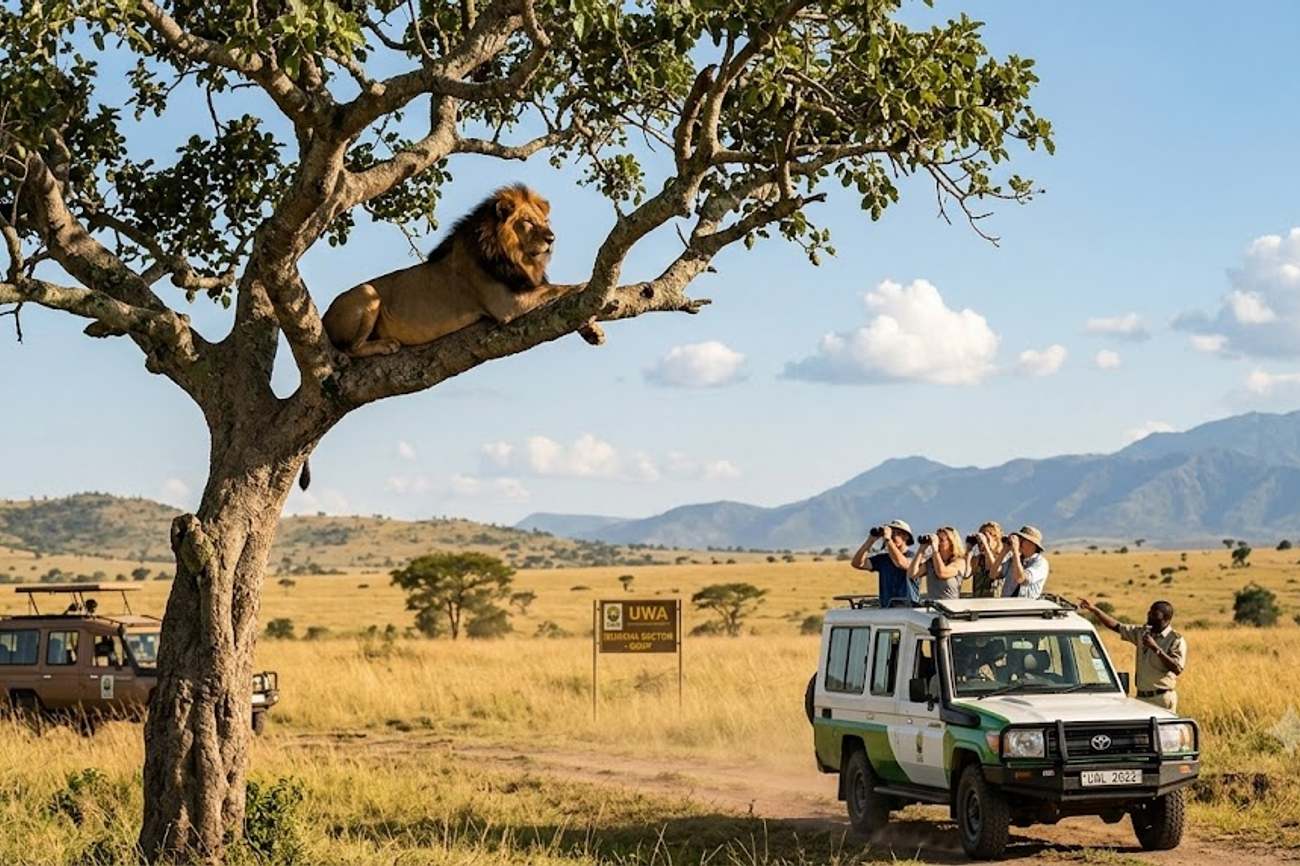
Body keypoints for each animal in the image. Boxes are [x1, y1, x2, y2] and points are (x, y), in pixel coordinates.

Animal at [322, 184, 579, 357]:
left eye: (544, 222)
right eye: (527, 221)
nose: (551, 238)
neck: (516, 258)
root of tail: (324, 318)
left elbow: (552, 286)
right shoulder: (506, 304)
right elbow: (558, 287)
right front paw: (583, 286)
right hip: (368, 292)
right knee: (349, 349)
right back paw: (386, 345)